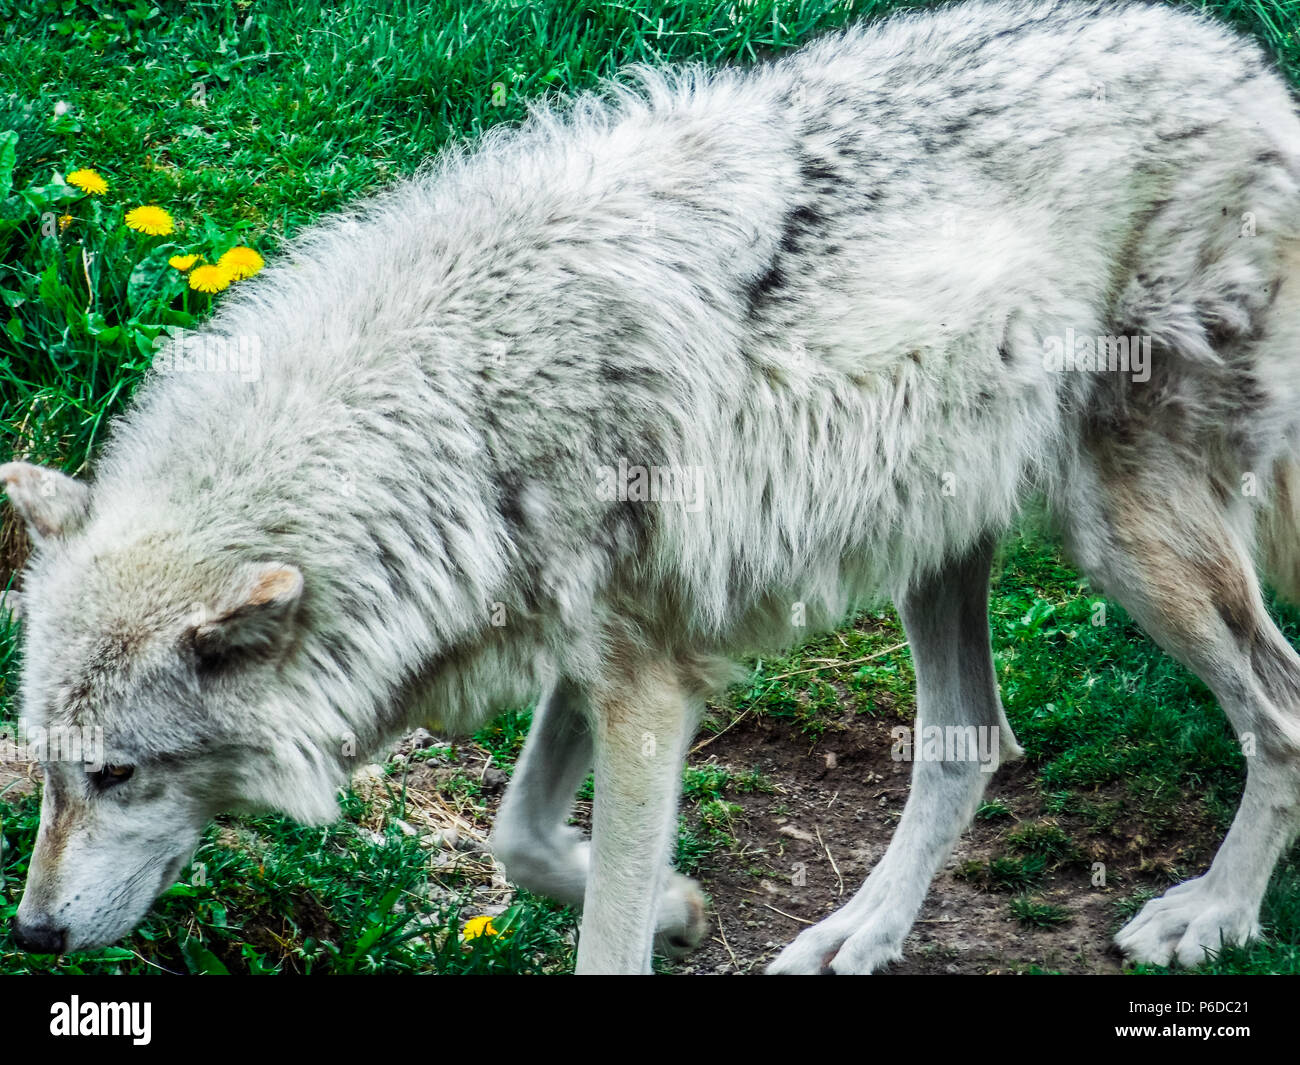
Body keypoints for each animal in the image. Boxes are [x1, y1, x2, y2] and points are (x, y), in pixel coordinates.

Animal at [2, 0, 1300, 972]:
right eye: (48, 770)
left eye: (115, 775)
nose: (35, 933)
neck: (466, 402)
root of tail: (1242, 64)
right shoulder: (604, 650)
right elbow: (519, 834)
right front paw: (680, 905)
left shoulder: (646, 691)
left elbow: (597, 928)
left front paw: (649, 907)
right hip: (938, 543)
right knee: (970, 744)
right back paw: (858, 935)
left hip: (1121, 540)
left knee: (1278, 713)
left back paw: (1210, 919)